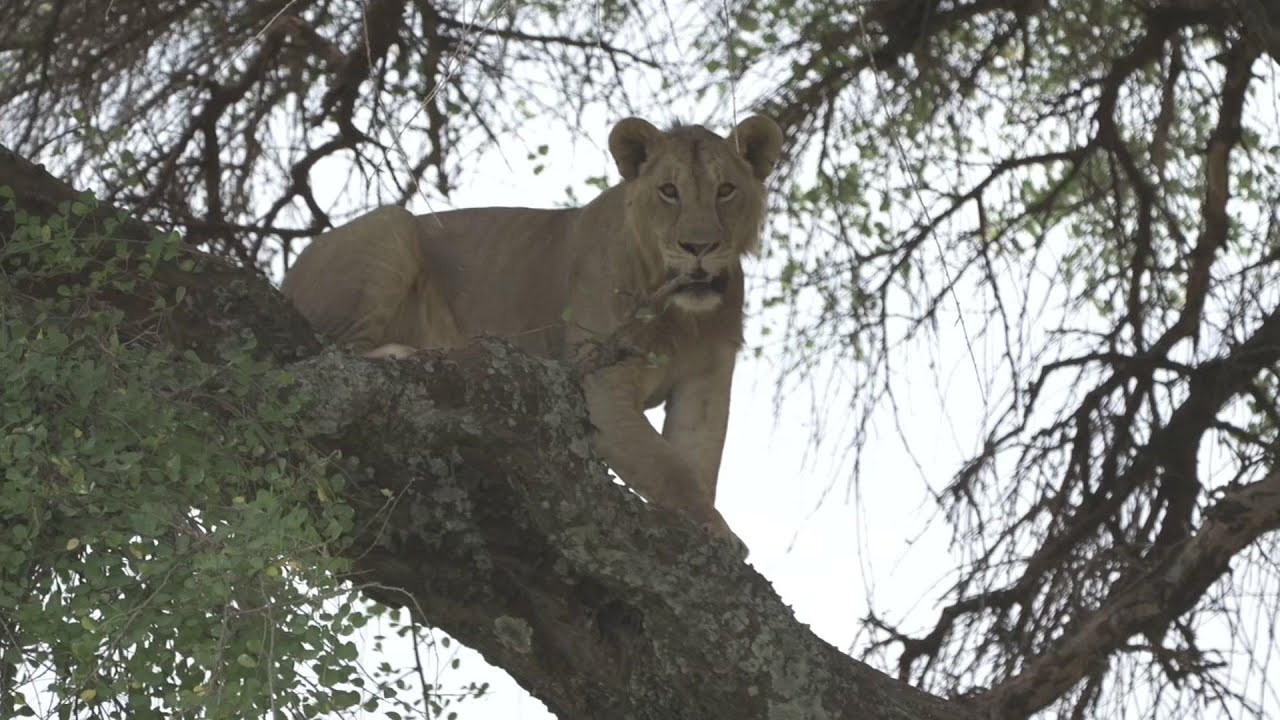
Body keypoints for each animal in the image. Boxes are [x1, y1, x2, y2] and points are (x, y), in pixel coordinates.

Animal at [281, 115, 784, 554]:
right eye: (669, 191)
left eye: (725, 190)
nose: (699, 247)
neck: (682, 317)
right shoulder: (600, 384)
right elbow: (668, 468)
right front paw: (720, 533)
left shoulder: (705, 384)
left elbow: (696, 463)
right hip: (393, 225)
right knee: (335, 354)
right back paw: (404, 353)